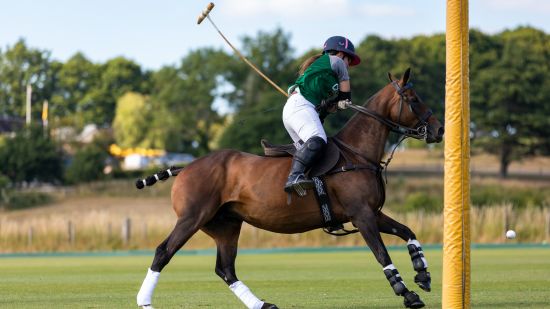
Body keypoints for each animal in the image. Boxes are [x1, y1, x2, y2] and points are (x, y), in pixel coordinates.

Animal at [137, 68, 444, 308]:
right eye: (414, 99)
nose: (439, 130)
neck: (356, 154)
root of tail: (186, 167)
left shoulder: (372, 212)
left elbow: (408, 231)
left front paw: (423, 274)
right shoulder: (362, 215)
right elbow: (382, 254)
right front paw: (408, 294)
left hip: (226, 225)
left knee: (225, 268)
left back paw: (263, 304)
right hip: (192, 217)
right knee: (163, 252)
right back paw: (144, 301)